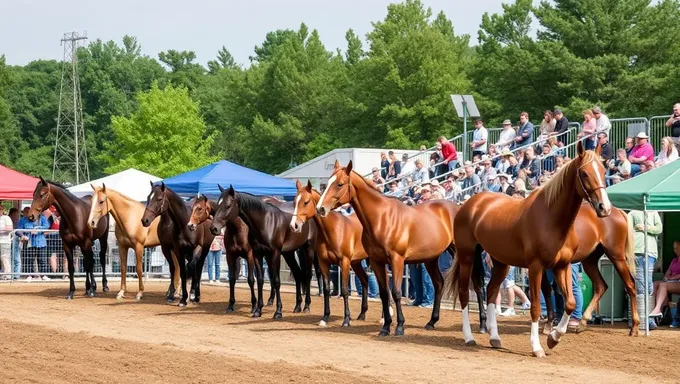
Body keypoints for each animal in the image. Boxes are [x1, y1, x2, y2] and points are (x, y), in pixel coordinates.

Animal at [210, 184, 314, 320]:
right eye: (218, 205)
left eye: (227, 205)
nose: (214, 228)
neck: (265, 223)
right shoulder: (256, 254)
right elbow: (259, 280)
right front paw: (257, 310)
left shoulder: (273, 254)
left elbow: (275, 280)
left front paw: (278, 312)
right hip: (289, 253)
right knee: (297, 274)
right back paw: (297, 306)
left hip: (308, 249)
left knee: (308, 275)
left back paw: (306, 306)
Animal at [286, 180, 372, 328]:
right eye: (294, 202)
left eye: (306, 202)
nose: (294, 226)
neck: (333, 230)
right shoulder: (324, 263)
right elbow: (326, 289)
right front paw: (325, 317)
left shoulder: (344, 263)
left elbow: (344, 290)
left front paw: (346, 320)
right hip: (356, 263)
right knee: (365, 280)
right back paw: (362, 314)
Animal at [316, 159, 486, 336]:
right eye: (327, 183)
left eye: (340, 184)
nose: (320, 208)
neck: (381, 218)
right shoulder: (377, 262)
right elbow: (384, 293)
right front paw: (385, 326)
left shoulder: (396, 260)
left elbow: (396, 292)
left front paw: (399, 326)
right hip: (431, 258)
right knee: (439, 283)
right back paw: (432, 321)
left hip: (465, 254)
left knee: (477, 285)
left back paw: (482, 325)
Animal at [444, 142, 612, 358]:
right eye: (584, 173)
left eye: (603, 170)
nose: (604, 208)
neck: (551, 218)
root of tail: (470, 204)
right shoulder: (536, 267)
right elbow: (536, 308)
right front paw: (537, 347)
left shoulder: (562, 266)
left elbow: (570, 302)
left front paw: (553, 338)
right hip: (467, 256)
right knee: (465, 293)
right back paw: (469, 337)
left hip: (501, 262)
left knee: (491, 291)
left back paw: (495, 338)